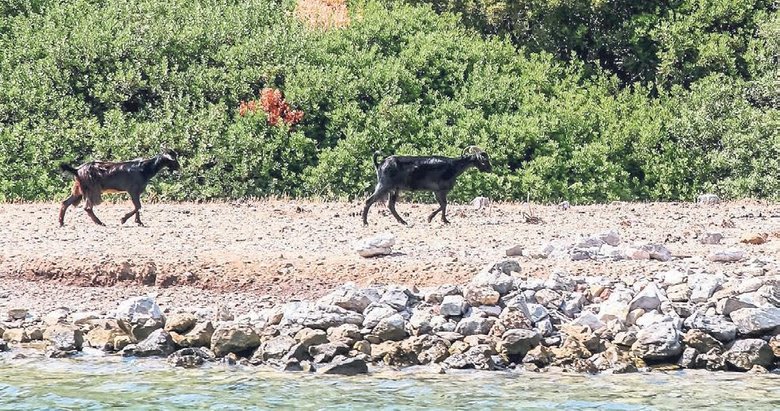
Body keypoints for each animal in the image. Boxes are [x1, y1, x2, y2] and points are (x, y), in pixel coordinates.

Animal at [362, 147, 490, 227]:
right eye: (484, 161)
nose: (490, 169)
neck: (453, 166)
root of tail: (380, 163)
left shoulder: (437, 191)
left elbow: (443, 205)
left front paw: (442, 220)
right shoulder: (440, 190)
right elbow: (444, 204)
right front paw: (435, 219)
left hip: (393, 189)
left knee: (391, 205)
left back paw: (402, 221)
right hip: (384, 185)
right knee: (369, 201)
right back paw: (365, 222)